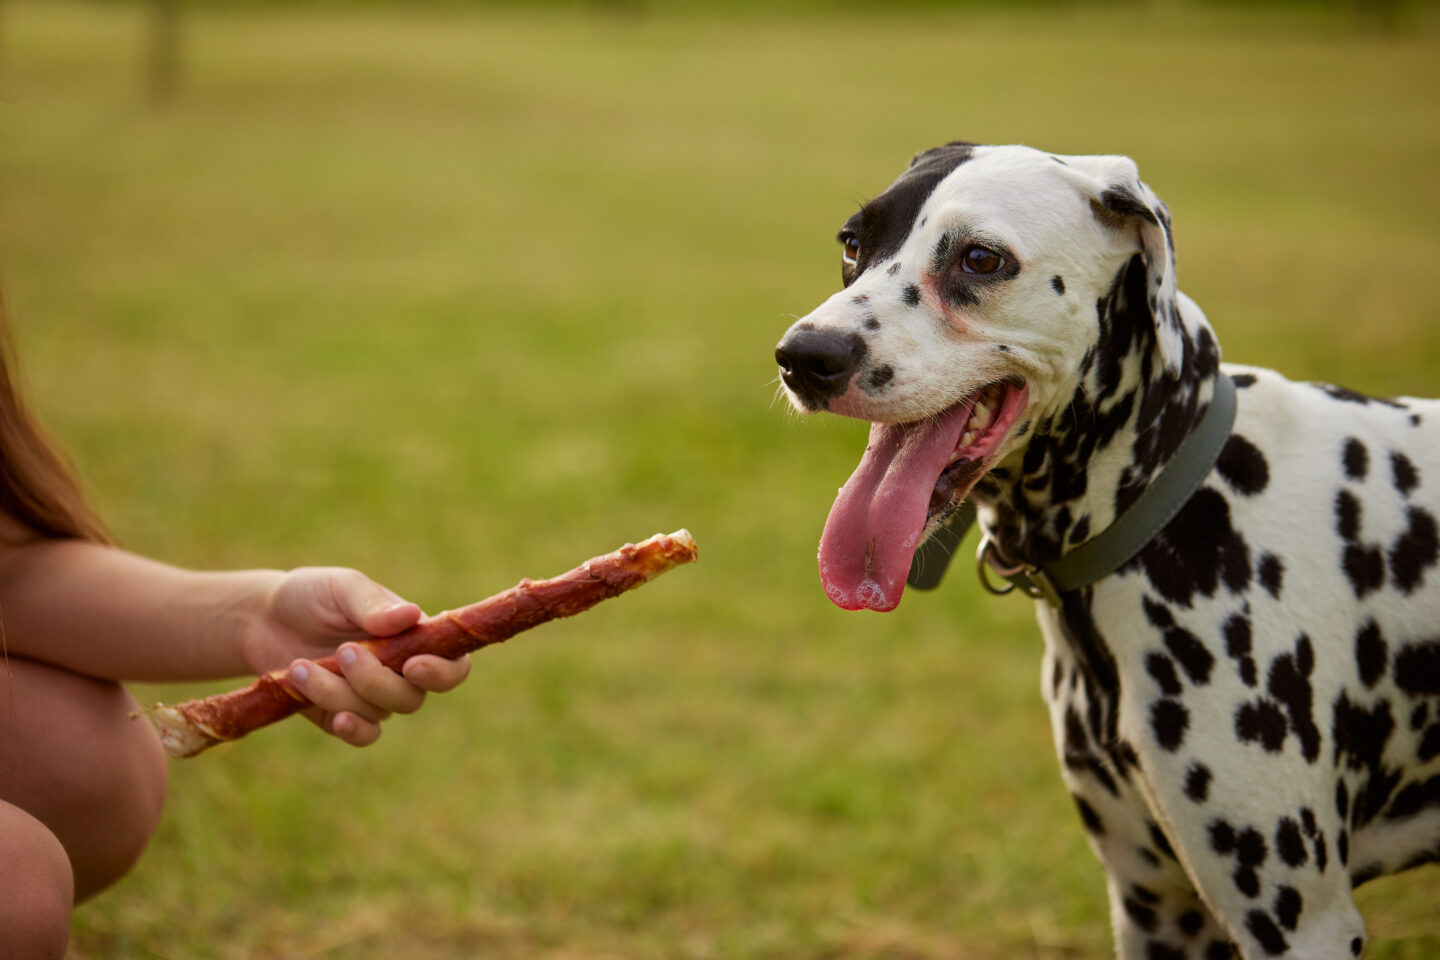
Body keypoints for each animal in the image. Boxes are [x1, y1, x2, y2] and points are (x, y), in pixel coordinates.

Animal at [777, 144, 1440, 960]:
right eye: (852, 243)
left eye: (980, 258)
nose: (804, 356)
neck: (1170, 497)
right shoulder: (1159, 909)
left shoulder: (1300, 924)